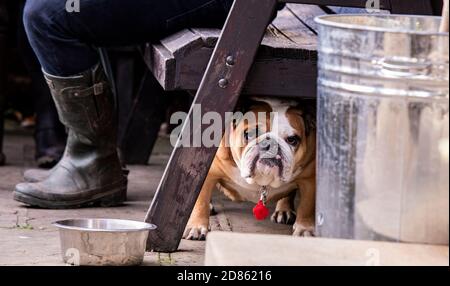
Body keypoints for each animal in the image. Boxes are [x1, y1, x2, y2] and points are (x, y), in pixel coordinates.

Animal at [183, 98, 316, 239]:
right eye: (250, 134)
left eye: (292, 140)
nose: (270, 143)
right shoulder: (207, 173)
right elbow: (200, 201)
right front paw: (196, 227)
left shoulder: (310, 179)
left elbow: (307, 206)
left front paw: (305, 228)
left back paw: (284, 210)